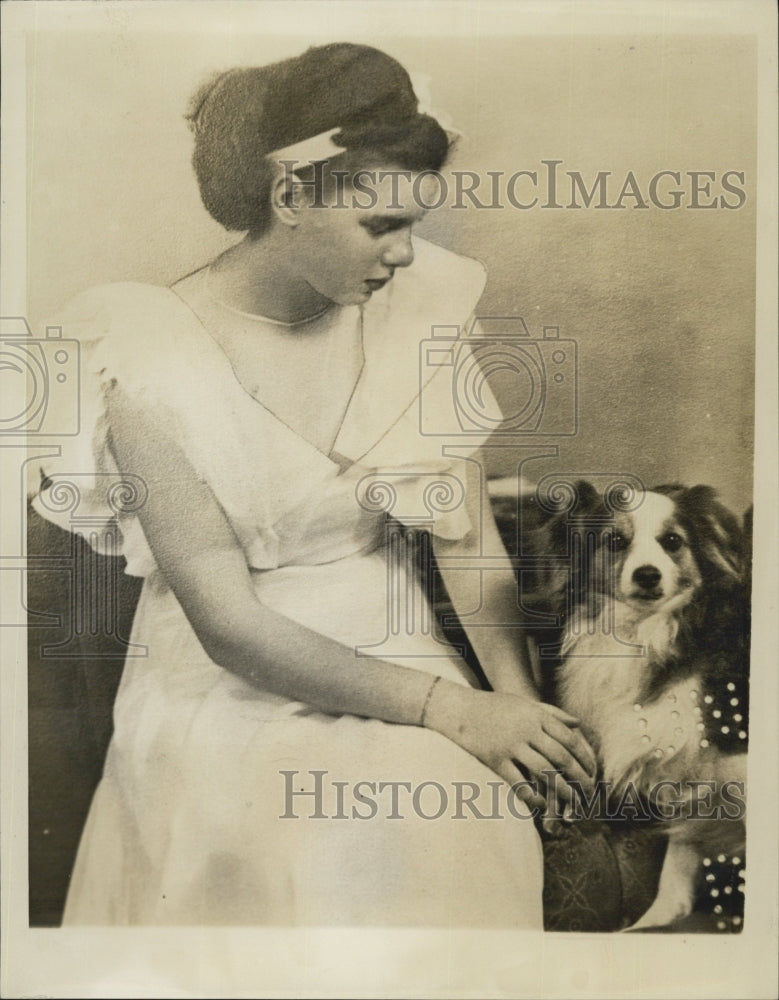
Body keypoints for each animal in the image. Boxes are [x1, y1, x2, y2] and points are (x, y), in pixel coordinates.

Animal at [508, 480, 752, 932]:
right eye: (616, 541)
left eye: (672, 542)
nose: (648, 574)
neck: (641, 633)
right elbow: (678, 863)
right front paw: (655, 919)